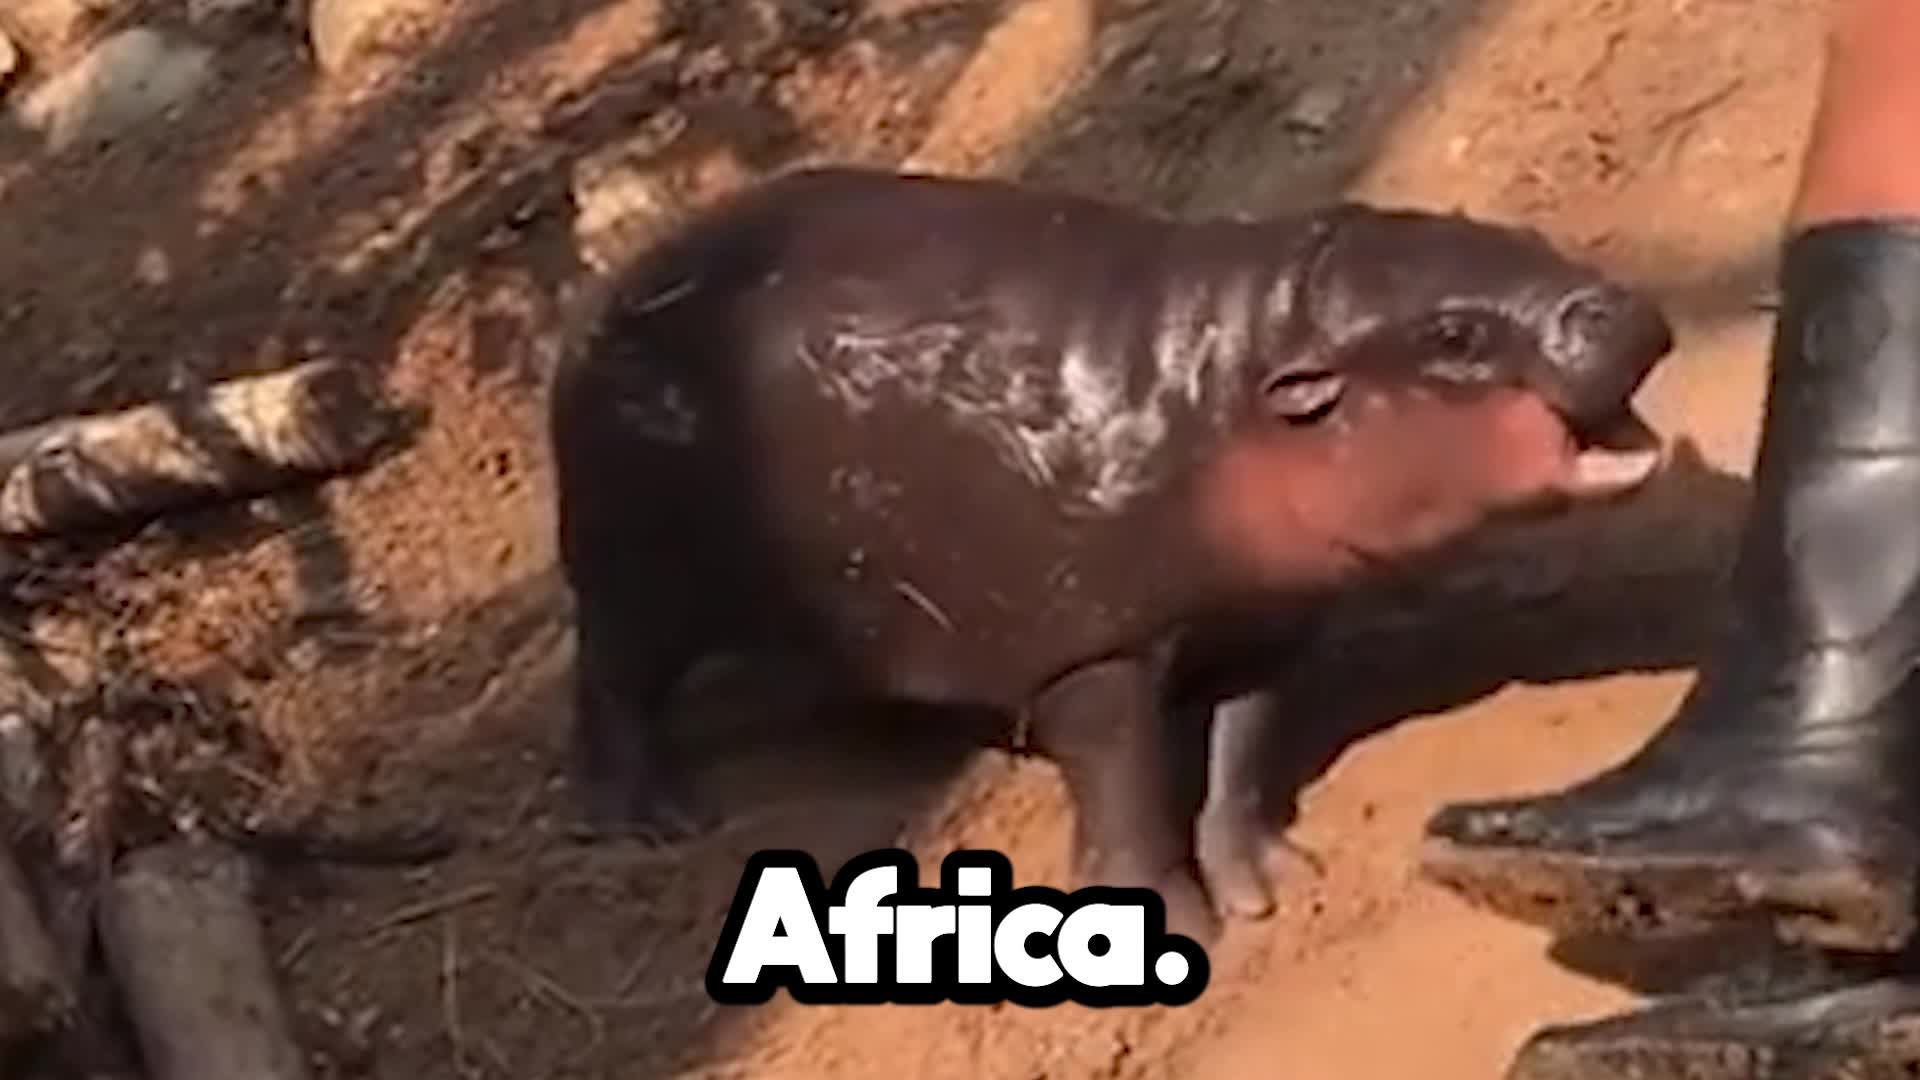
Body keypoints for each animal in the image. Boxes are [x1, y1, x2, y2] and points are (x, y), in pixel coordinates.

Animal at [548, 165, 1674, 943]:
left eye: (1516, 233)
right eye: (1454, 337)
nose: (1624, 307)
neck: (1244, 374)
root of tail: (615, 286)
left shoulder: (1263, 622)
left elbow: (1241, 751)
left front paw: (1271, 884)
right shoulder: (1095, 652)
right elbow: (1127, 786)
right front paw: (1179, 927)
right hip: (635, 571)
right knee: (610, 678)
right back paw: (649, 821)